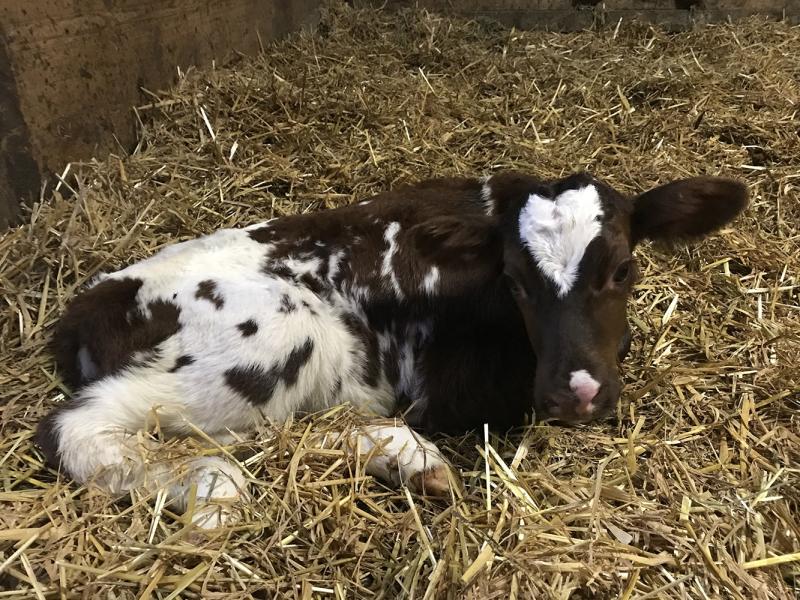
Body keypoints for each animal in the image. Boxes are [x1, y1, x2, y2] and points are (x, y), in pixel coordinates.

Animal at [37, 171, 748, 528]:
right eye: (515, 280)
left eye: (623, 269)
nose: (576, 392)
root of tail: (87, 305)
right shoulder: (447, 392)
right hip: (275, 334)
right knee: (79, 424)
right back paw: (212, 485)